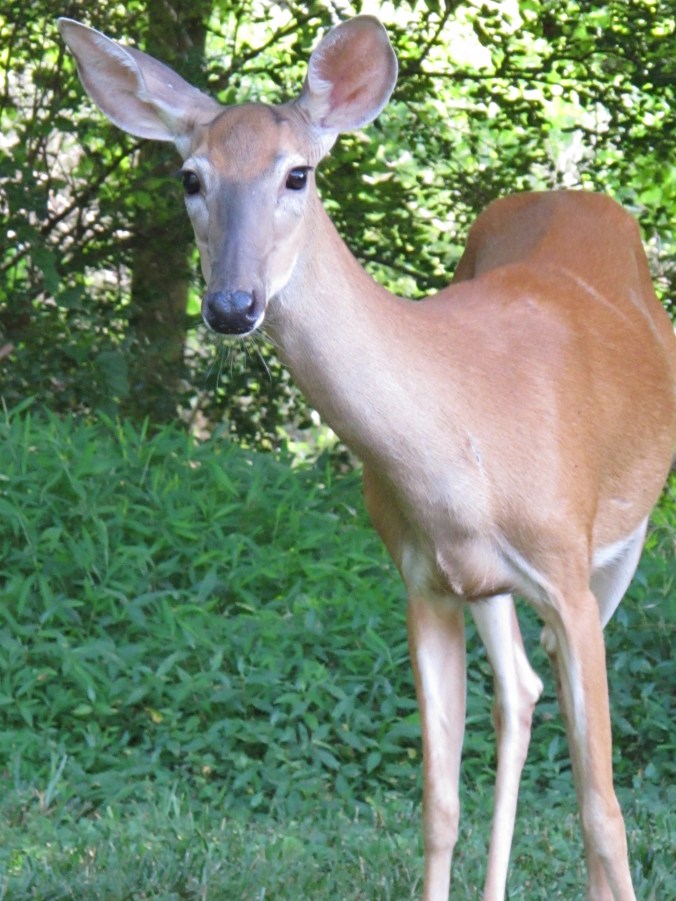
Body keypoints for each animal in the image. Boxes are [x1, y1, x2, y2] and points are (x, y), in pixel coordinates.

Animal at [58, 14, 675, 901]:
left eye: (298, 173)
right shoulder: (421, 576)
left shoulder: (565, 564)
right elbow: (438, 803)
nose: (231, 305)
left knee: (557, 698)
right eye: (189, 177)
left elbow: (603, 814)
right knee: (519, 689)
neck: (463, 433)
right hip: (489, 584)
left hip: (621, 543)